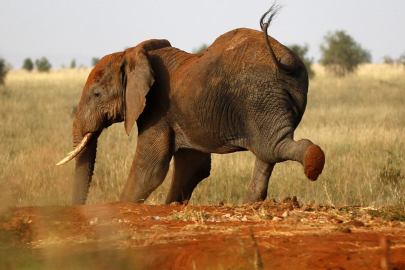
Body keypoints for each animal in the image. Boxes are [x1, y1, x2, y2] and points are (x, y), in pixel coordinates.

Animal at [56, 5, 326, 205]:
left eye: (97, 94)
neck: (132, 53)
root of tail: (286, 59)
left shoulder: (157, 108)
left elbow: (150, 169)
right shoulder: (181, 113)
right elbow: (193, 166)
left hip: (260, 96)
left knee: (271, 147)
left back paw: (313, 162)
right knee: (267, 152)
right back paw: (250, 204)